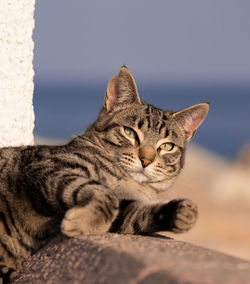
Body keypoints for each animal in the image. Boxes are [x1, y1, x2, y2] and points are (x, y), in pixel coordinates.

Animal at [0, 66, 209, 282]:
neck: (127, 180)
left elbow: (136, 213)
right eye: (130, 132)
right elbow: (105, 195)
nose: (146, 160)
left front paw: (182, 212)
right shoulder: (52, 167)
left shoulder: (124, 209)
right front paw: (81, 222)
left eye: (167, 146)